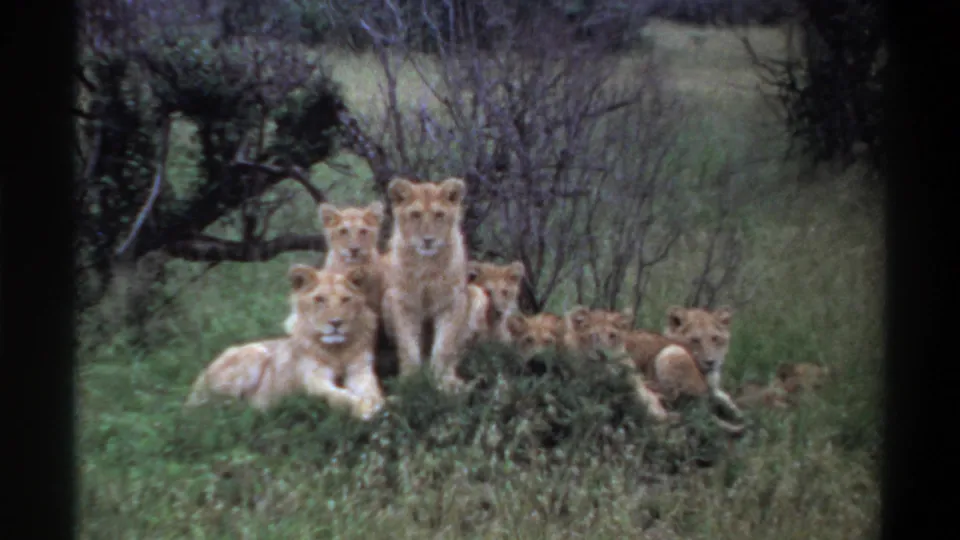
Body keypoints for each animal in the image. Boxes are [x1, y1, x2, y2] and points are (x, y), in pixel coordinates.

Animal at [185, 265, 384, 420]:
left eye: (346, 299)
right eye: (319, 299)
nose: (336, 323)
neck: (337, 350)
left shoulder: (361, 370)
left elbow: (372, 390)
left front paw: (379, 403)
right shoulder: (313, 381)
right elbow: (339, 396)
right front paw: (363, 408)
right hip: (255, 353)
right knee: (213, 409)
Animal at [379, 176, 472, 392]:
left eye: (439, 215)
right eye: (415, 215)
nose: (428, 240)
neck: (427, 266)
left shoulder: (452, 302)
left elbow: (444, 345)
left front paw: (443, 381)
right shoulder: (402, 303)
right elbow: (408, 347)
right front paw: (410, 382)